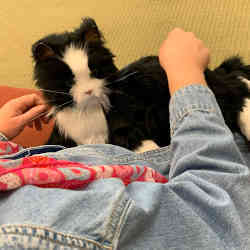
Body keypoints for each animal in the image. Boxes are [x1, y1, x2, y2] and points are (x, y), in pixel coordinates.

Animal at [32, 17, 250, 151]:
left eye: (95, 72)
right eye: (69, 81)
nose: (88, 91)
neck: (90, 110)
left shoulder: (130, 124)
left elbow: (139, 143)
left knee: (238, 85)